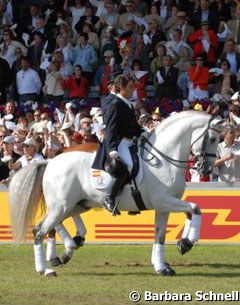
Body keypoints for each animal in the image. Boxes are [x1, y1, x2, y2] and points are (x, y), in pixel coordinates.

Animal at [9, 111, 223, 276]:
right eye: (212, 139)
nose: (206, 169)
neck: (164, 157)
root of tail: (50, 160)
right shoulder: (164, 201)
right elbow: (196, 209)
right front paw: (186, 243)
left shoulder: (164, 206)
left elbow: (164, 233)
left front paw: (165, 263)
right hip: (62, 206)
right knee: (40, 230)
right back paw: (46, 269)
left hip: (78, 204)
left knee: (56, 224)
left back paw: (68, 249)